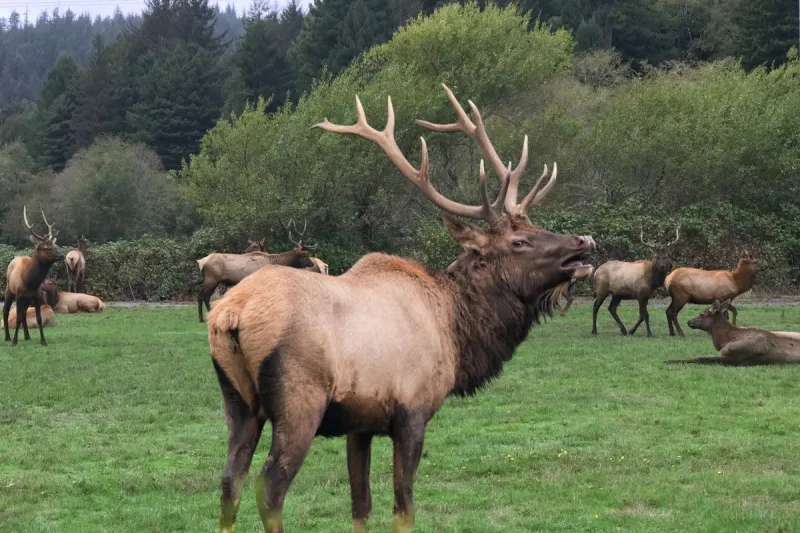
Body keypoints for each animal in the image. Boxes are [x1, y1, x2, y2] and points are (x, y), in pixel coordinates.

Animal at [3, 207, 63, 346]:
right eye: (45, 247)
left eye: (54, 245)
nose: (62, 255)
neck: (30, 281)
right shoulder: (19, 295)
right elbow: (18, 318)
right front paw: (14, 341)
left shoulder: (36, 295)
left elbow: (39, 318)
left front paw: (43, 341)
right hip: (9, 289)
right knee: (6, 310)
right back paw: (7, 337)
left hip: (27, 298)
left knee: (24, 314)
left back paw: (27, 336)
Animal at [205, 85, 596, 533]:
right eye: (518, 241)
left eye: (534, 225)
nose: (583, 241)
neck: (456, 329)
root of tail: (229, 315)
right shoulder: (412, 410)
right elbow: (403, 506)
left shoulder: (359, 423)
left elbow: (361, 504)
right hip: (298, 401)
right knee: (269, 488)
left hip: (239, 404)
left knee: (229, 483)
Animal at [665, 300, 800, 365]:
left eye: (701, 314)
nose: (688, 322)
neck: (723, 341)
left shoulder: (732, 357)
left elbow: (700, 358)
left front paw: (669, 361)